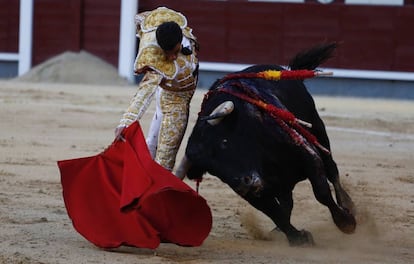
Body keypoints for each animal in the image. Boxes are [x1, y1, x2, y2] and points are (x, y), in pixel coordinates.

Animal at [175, 42, 356, 246]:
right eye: (211, 169)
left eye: (223, 143)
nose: (243, 184)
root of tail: (286, 71)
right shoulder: (256, 194)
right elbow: (276, 214)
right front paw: (297, 238)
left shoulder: (306, 153)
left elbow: (321, 191)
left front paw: (346, 222)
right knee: (287, 202)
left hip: (318, 129)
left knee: (332, 170)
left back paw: (348, 205)